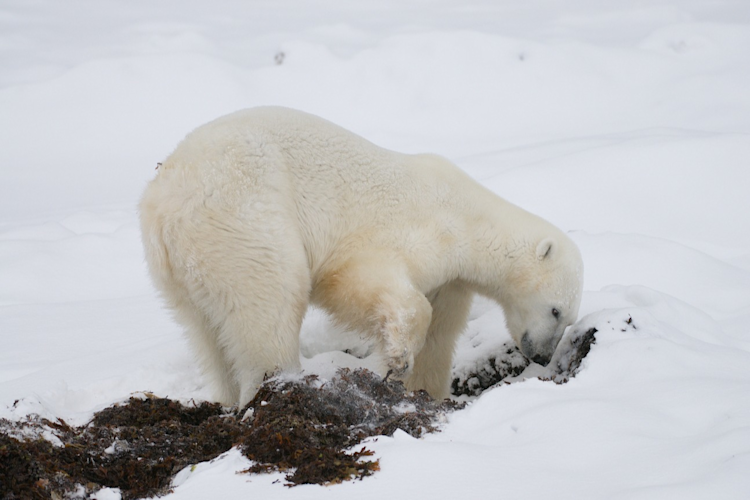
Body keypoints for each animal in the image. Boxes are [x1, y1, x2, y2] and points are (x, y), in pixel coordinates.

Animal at [139, 107, 584, 407]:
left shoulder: (449, 280)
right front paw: (393, 362)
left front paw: (424, 391)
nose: (542, 356)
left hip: (179, 269)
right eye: (557, 310)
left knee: (207, 332)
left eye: (568, 318)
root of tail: (165, 202)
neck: (466, 217)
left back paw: (228, 399)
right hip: (243, 219)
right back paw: (272, 387)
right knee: (269, 304)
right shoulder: (411, 230)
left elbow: (439, 334)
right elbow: (362, 282)